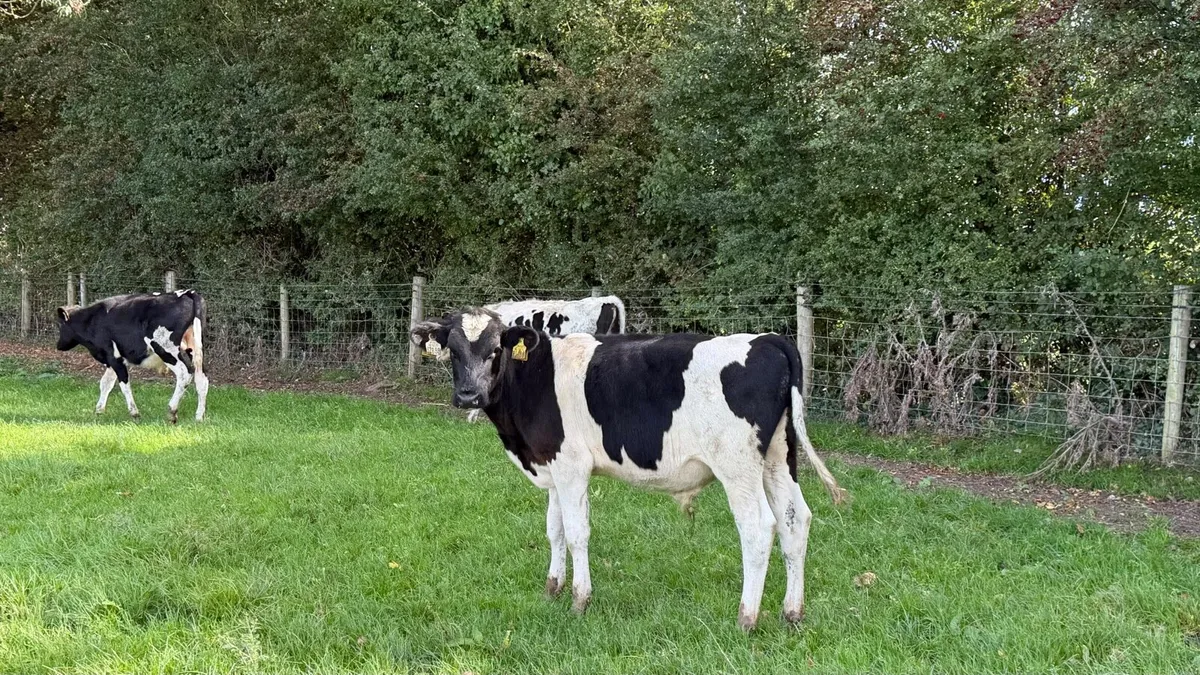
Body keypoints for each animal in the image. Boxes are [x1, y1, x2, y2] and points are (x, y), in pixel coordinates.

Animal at [55, 290, 209, 423]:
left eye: (60, 325)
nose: (58, 345)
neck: (92, 320)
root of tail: (187, 293)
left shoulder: (114, 358)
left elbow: (124, 385)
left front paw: (134, 413)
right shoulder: (113, 360)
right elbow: (106, 383)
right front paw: (99, 410)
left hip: (166, 349)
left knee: (185, 374)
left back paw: (172, 411)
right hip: (195, 350)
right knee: (202, 379)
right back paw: (199, 417)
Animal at [411, 308, 847, 631]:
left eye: (494, 350)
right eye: (453, 350)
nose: (469, 395)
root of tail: (769, 339)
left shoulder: (571, 465)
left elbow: (577, 533)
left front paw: (579, 601)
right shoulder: (551, 464)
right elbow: (554, 529)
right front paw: (552, 588)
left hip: (737, 465)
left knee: (758, 528)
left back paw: (747, 618)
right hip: (778, 457)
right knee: (795, 520)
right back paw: (792, 613)